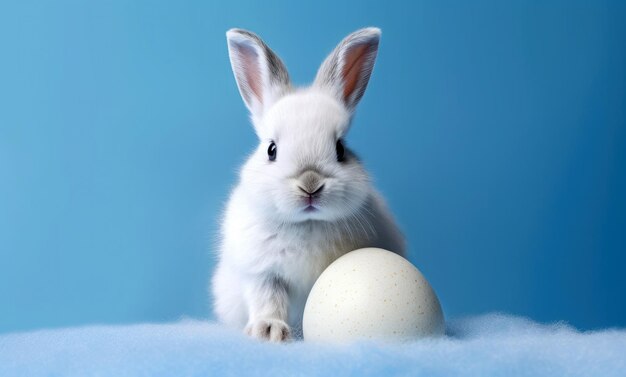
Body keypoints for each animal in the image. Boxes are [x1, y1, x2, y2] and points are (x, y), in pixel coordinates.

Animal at [210, 27, 404, 340]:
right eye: (271, 150)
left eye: (340, 149)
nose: (310, 184)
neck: (307, 223)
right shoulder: (262, 274)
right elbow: (268, 301)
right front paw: (269, 331)